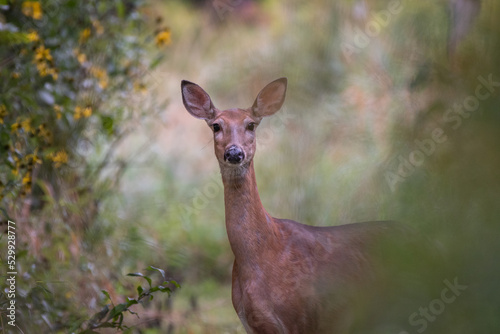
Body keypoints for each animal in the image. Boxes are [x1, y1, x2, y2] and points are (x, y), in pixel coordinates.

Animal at [182, 78, 412, 334]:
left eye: (251, 124)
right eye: (216, 126)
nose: (234, 153)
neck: (260, 254)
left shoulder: (300, 318)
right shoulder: (253, 324)